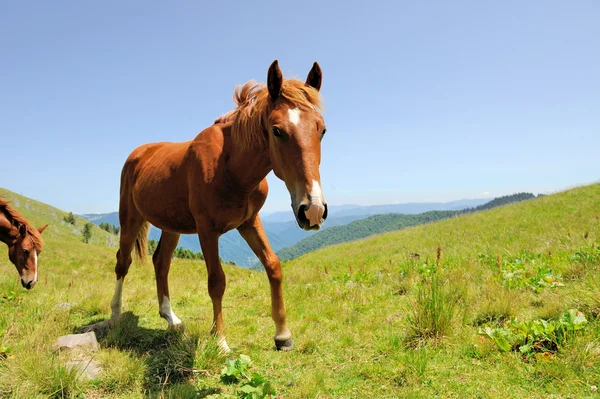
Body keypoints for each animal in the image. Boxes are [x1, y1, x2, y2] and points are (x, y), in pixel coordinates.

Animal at [105, 61, 326, 352]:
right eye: (277, 131)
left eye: (322, 130)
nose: (312, 210)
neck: (231, 167)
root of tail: (138, 154)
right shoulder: (207, 231)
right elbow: (217, 281)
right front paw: (220, 341)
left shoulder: (249, 222)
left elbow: (273, 266)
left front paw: (282, 335)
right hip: (129, 218)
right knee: (123, 261)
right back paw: (115, 314)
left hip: (172, 226)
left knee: (161, 262)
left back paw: (170, 317)